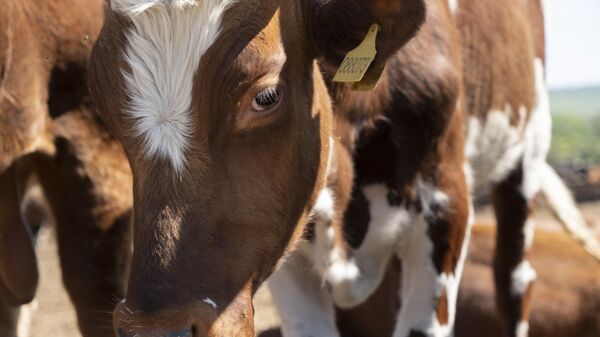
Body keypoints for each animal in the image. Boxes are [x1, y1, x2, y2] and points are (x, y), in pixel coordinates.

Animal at [89, 0, 600, 336]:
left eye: (266, 96)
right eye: (105, 109)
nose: (158, 330)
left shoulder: (446, 204)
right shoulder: (283, 236)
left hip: (527, 151)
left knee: (514, 282)